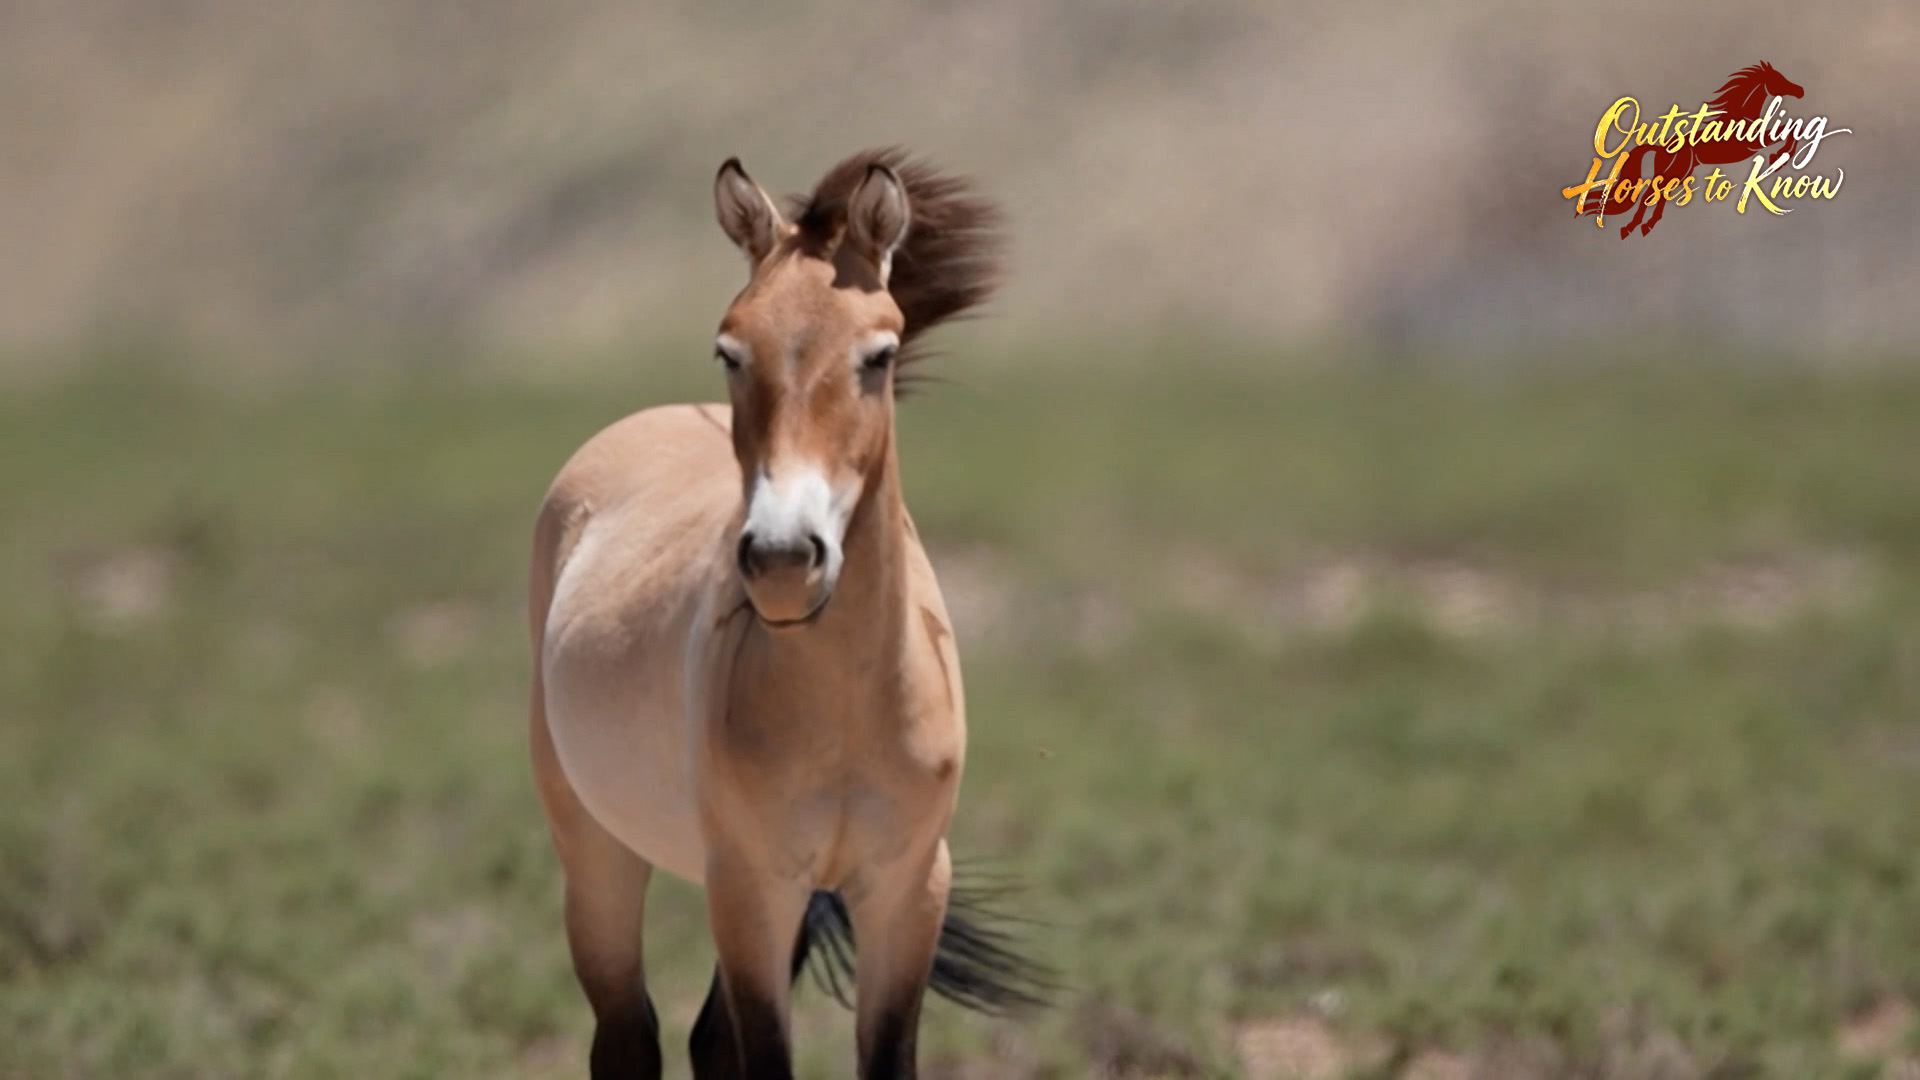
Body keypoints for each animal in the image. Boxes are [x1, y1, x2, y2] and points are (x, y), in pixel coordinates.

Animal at [526, 149, 1047, 1079]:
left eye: (879, 355)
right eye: (730, 350)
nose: (779, 559)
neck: (844, 704)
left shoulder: (907, 890)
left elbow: (878, 1058)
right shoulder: (750, 887)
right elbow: (764, 1055)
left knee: (705, 1038)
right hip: (596, 852)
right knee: (627, 1037)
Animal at [1580, 61, 1804, 237]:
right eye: (1778, 79)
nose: (1800, 91)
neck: (1741, 116)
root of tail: (1661, 147)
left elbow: (1792, 128)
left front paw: (1781, 155)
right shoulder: (1753, 143)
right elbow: (1789, 129)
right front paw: (1779, 156)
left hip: (1679, 173)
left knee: (1660, 194)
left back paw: (1647, 225)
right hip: (1673, 172)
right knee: (1648, 195)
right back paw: (1631, 227)